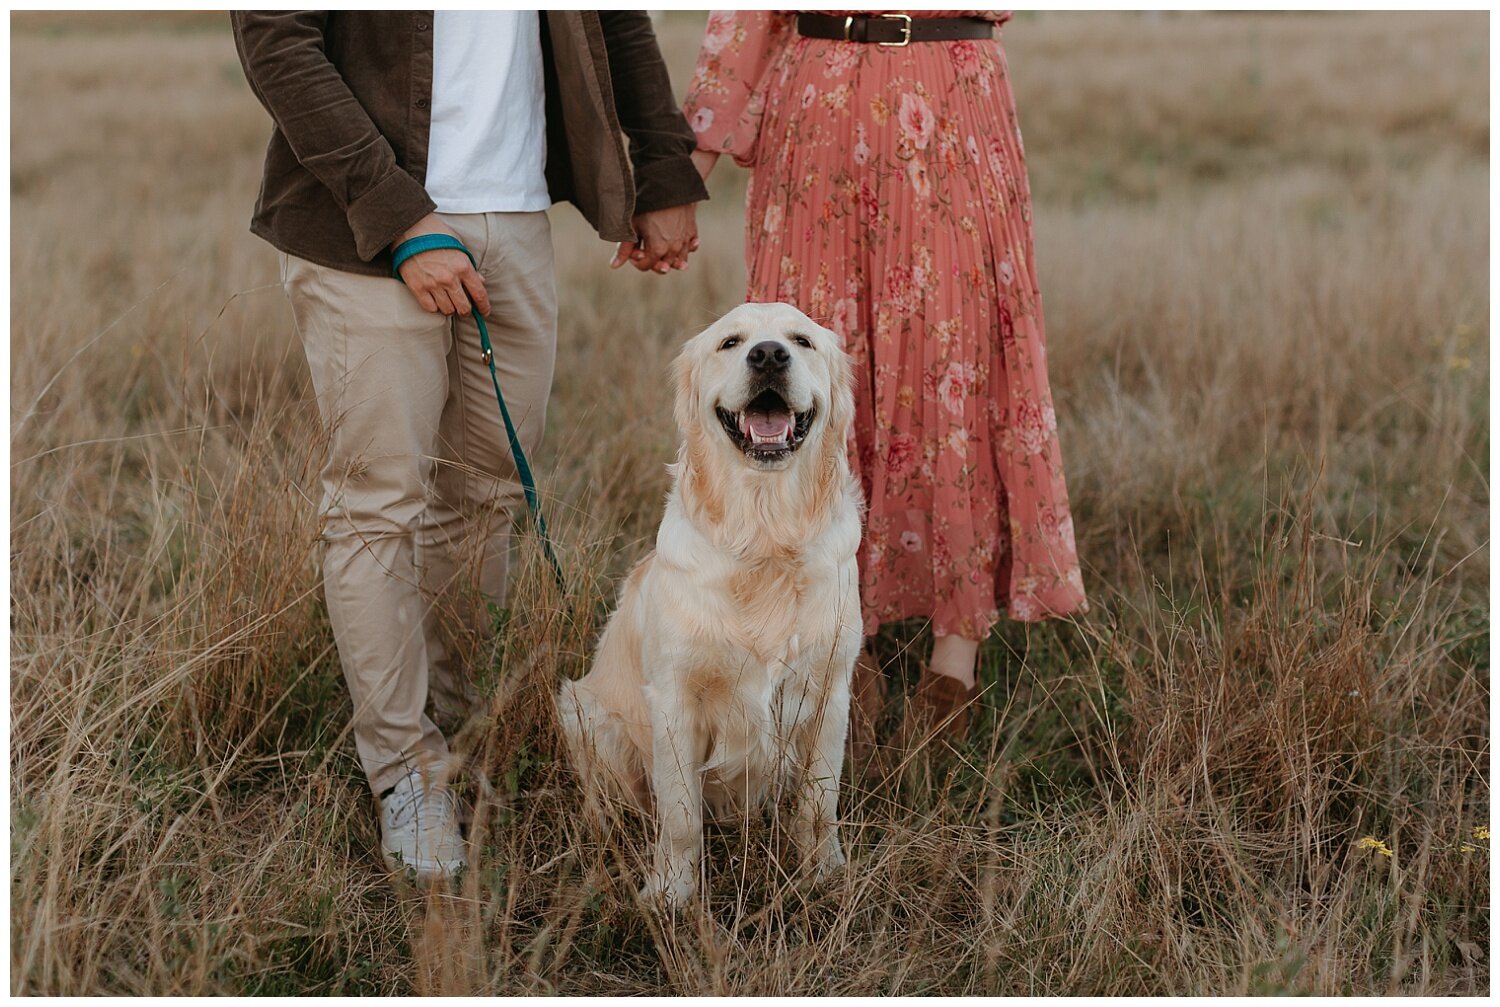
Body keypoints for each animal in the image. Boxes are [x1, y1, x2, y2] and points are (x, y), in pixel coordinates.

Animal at [552, 300, 864, 906]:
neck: (764, 536)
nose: (768, 355)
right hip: (585, 712)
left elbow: (820, 802)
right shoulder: (675, 698)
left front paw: (825, 874)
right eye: (731, 342)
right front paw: (671, 895)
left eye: (801, 340)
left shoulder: (830, 689)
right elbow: (678, 815)